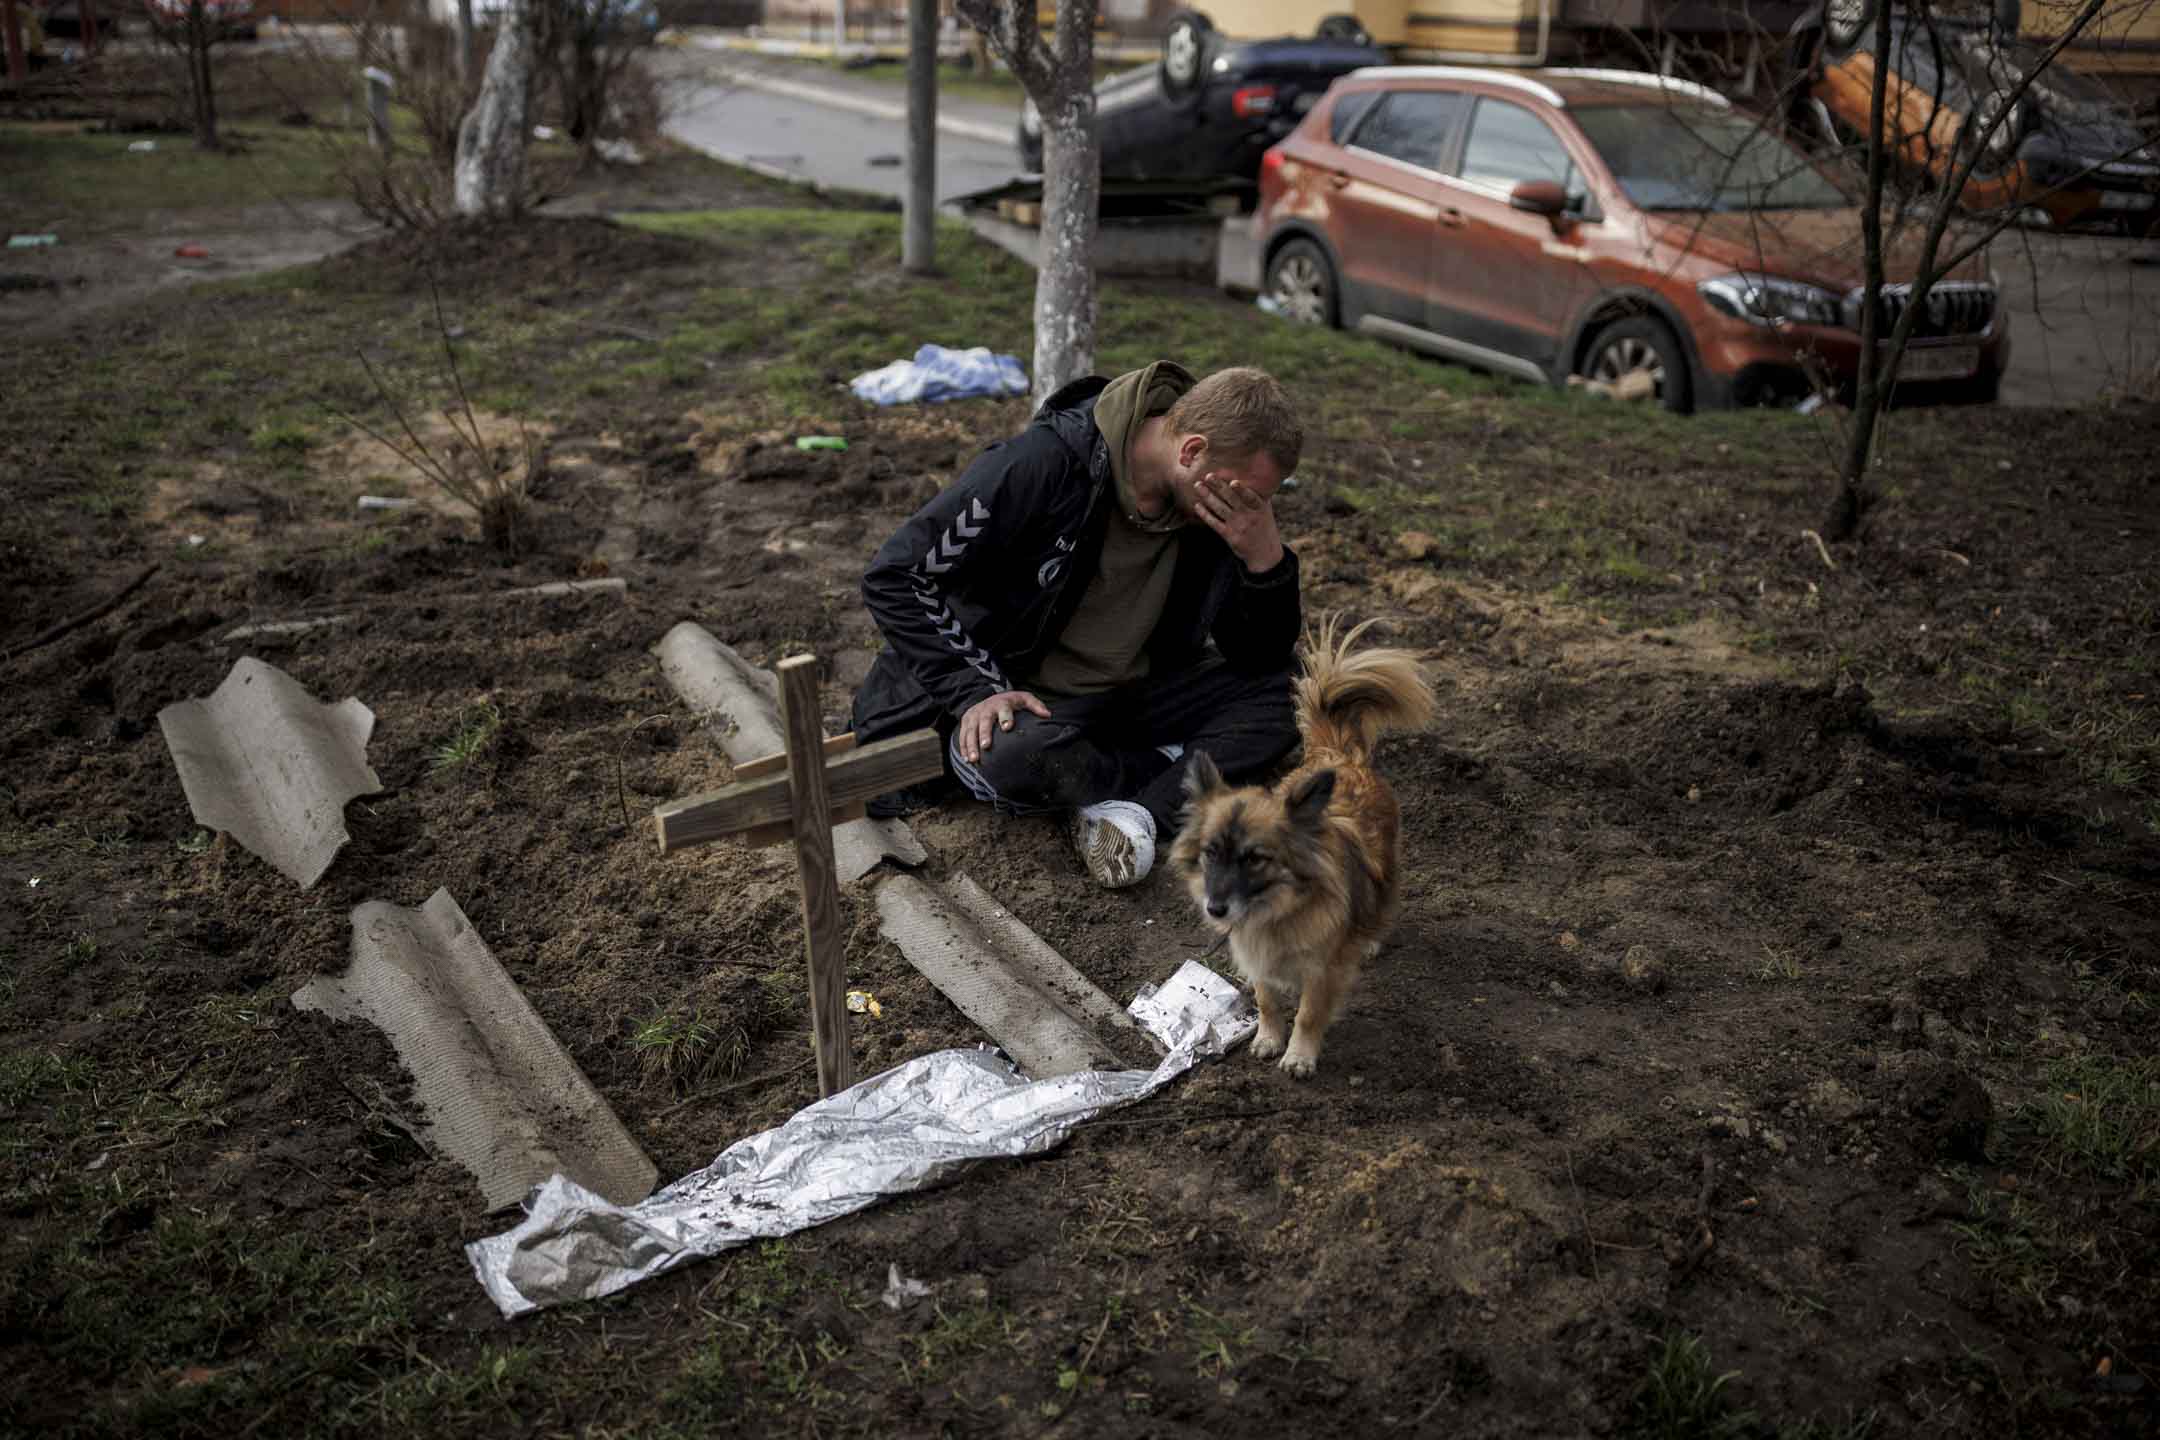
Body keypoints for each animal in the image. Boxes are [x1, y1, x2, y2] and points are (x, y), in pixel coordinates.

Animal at [1166, 621, 1434, 1079]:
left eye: (1256, 859)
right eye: (1210, 853)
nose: (1215, 909)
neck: (1278, 911)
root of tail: (1338, 755)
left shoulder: (1324, 971)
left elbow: (1309, 1014)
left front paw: (1299, 1056)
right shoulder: (1257, 958)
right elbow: (1266, 1000)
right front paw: (1268, 1038)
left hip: (1387, 869)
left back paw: (1370, 938)